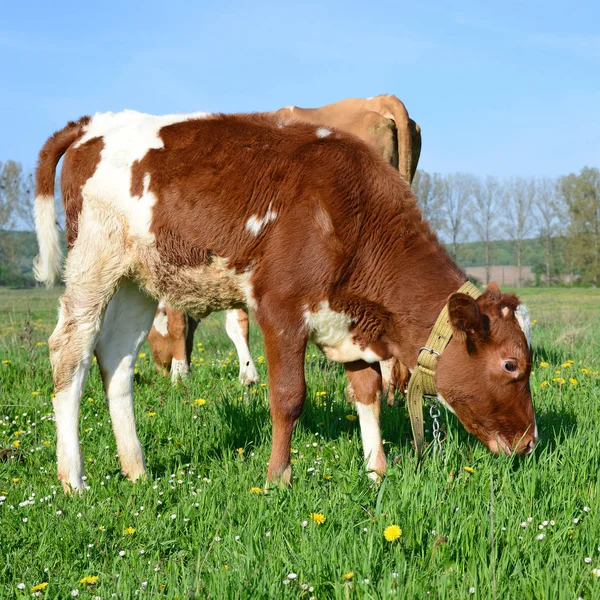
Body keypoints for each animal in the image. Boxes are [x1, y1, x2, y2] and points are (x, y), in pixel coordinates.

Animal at [150, 95, 420, 398]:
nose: (159, 370)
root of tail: (378, 100)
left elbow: (179, 321)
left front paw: (180, 376)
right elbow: (237, 322)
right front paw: (247, 375)